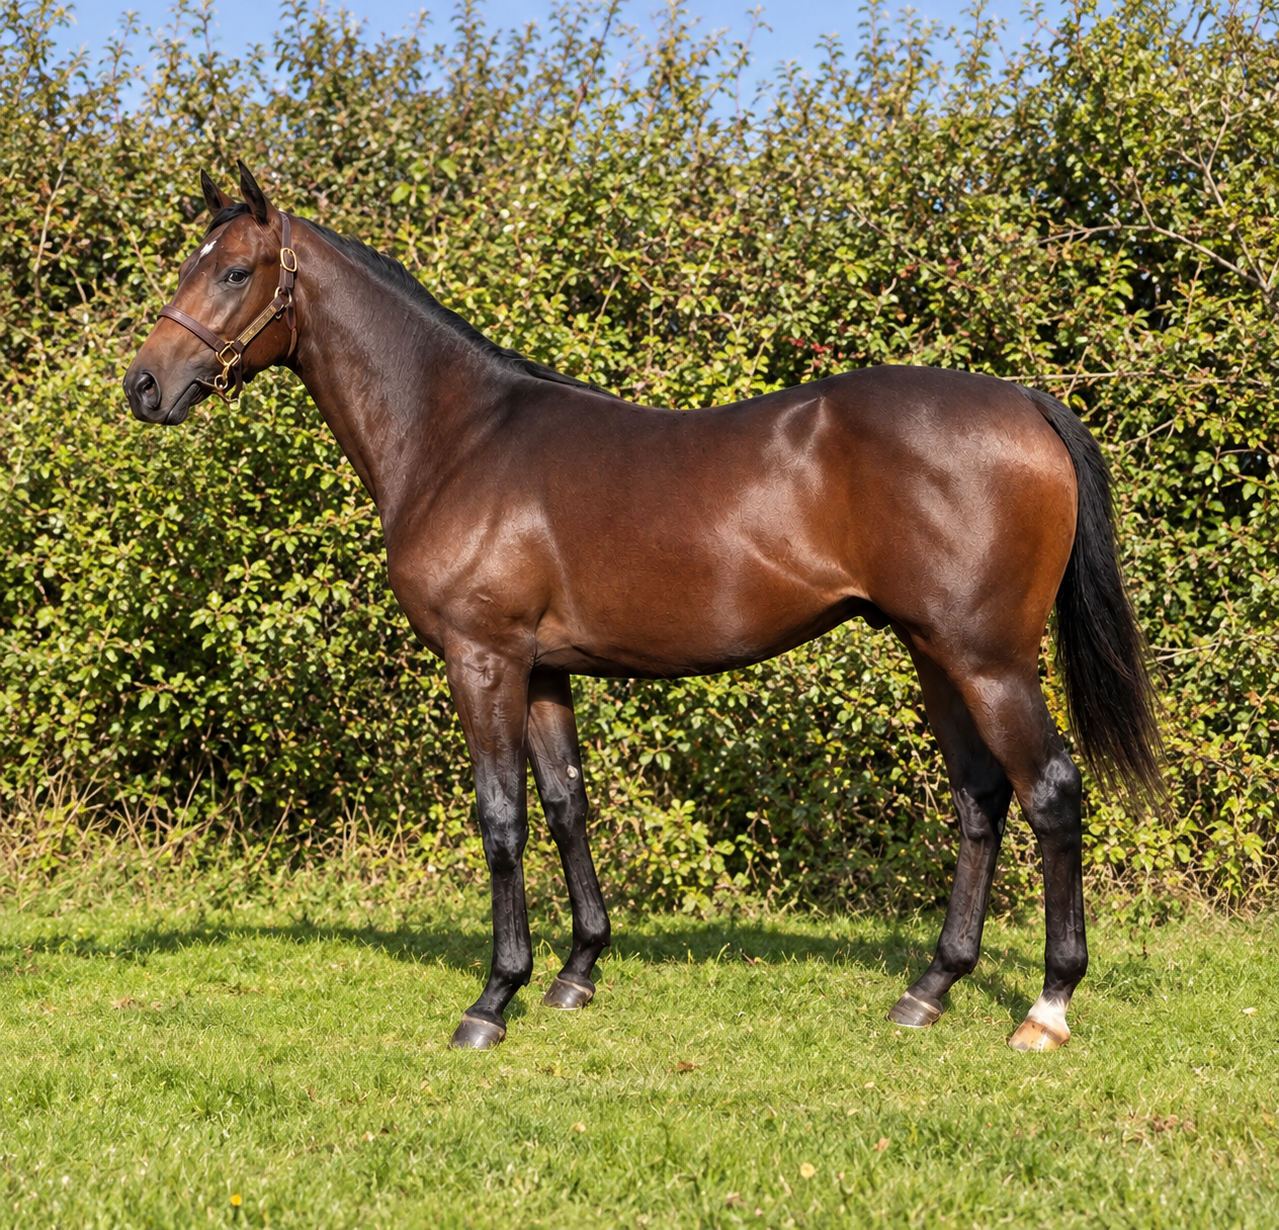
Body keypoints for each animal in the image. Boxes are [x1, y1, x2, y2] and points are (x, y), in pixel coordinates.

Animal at [123, 163, 1161, 1053]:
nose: (143, 385)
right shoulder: (542, 669)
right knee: (980, 797)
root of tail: (1025, 404)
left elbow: (500, 818)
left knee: (1049, 791)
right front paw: (575, 972)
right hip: (933, 651)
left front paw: (493, 999)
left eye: (234, 270)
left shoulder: (482, 657)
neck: (458, 437)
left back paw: (1046, 1007)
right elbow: (565, 804)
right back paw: (930, 988)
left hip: (988, 660)